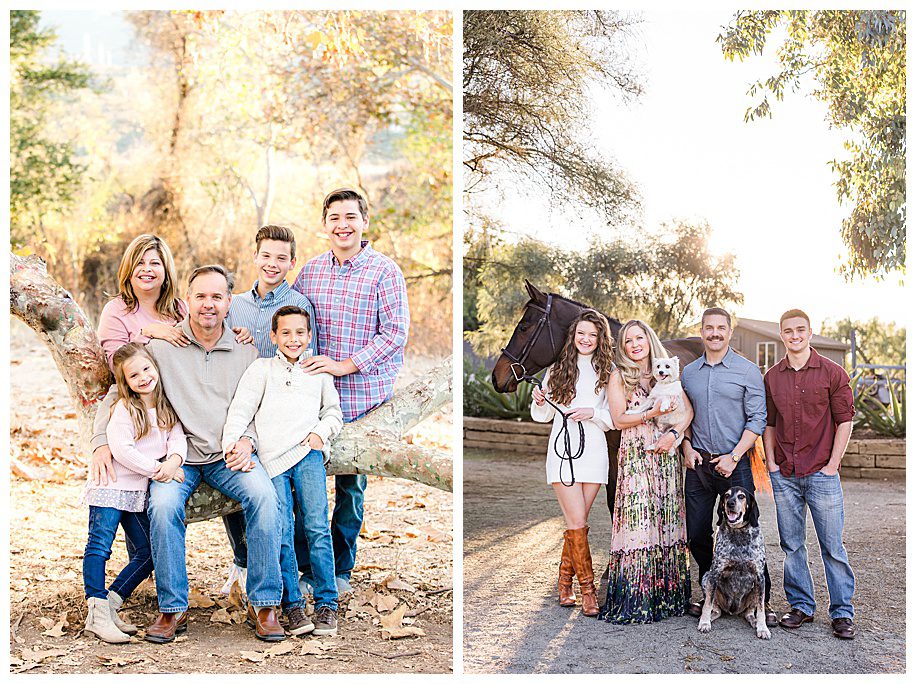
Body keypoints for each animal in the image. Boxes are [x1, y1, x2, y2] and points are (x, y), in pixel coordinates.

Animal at [696, 486, 768, 640]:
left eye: (741, 496)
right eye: (727, 495)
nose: (730, 503)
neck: (738, 532)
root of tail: (733, 610)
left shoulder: (760, 578)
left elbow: (760, 609)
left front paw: (763, 628)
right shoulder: (714, 573)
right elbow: (707, 605)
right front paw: (704, 622)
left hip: (755, 590)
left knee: (749, 613)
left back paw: (755, 622)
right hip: (706, 578)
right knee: (715, 609)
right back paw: (707, 618)